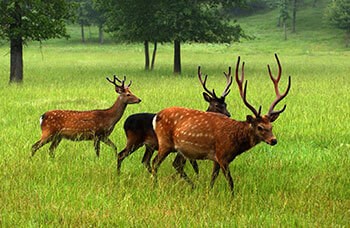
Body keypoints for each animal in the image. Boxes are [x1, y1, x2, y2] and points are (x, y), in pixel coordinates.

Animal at [152, 53, 292, 194]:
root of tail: (157, 115)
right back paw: (156, 186)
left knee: (171, 164)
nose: (274, 140)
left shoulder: (216, 158)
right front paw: (232, 197)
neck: (236, 142)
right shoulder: (222, 155)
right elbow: (230, 181)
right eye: (260, 127)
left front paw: (208, 192)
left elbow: (213, 177)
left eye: (271, 126)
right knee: (155, 163)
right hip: (165, 143)